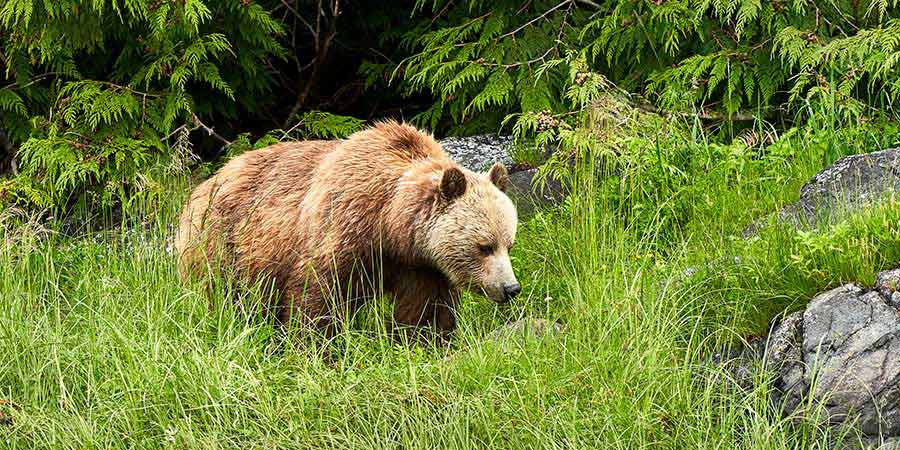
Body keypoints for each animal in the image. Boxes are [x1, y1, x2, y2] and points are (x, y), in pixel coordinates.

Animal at [175, 120, 520, 340]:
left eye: (509, 243)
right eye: (484, 246)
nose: (510, 288)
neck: (390, 224)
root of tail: (205, 183)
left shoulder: (423, 267)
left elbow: (425, 311)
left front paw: (426, 342)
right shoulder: (344, 229)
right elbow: (319, 293)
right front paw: (317, 345)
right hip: (223, 238)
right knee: (221, 294)